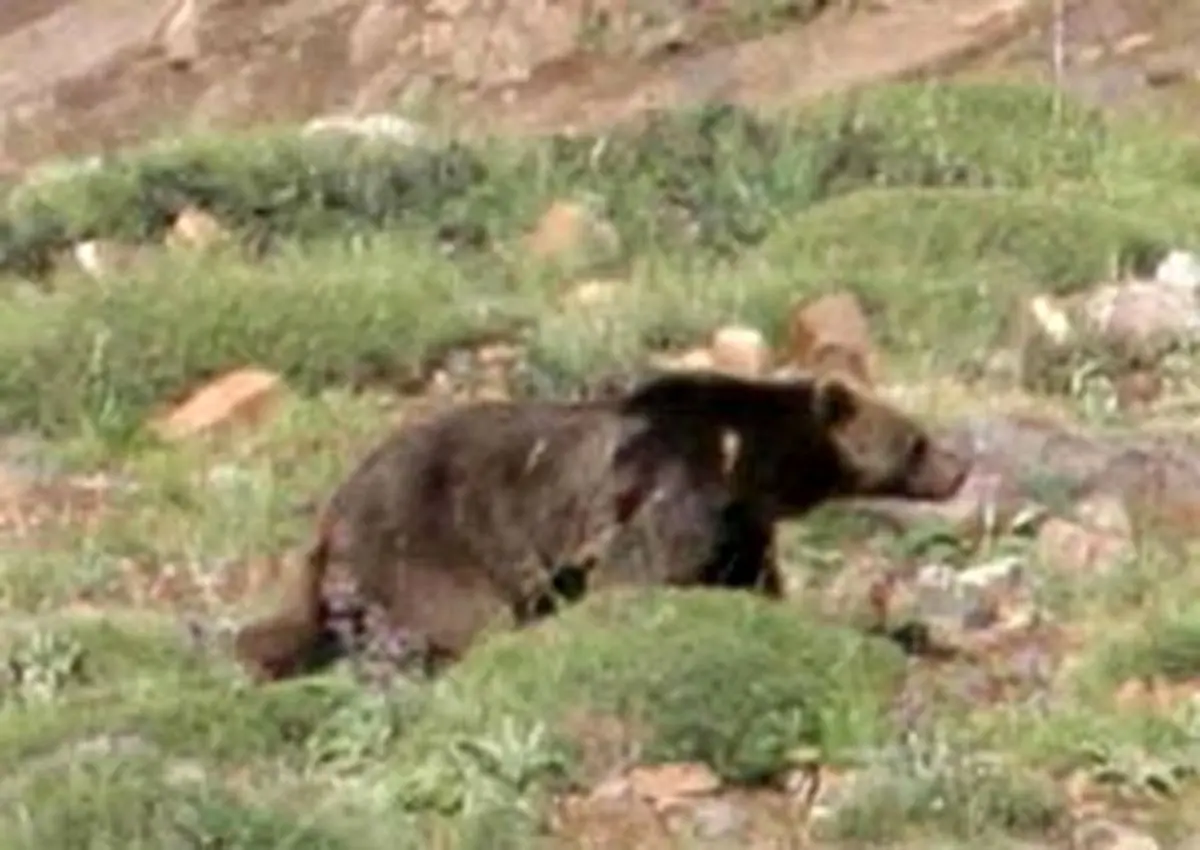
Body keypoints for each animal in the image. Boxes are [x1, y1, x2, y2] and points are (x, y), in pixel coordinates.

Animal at [231, 367, 964, 681]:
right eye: (918, 440)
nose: (959, 466)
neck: (749, 456)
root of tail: (333, 508)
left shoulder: (735, 521)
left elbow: (747, 575)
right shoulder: (675, 485)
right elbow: (637, 569)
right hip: (425, 538)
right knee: (460, 611)